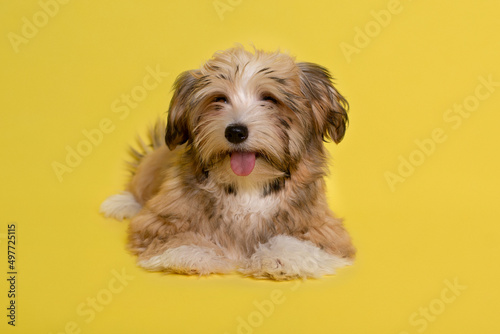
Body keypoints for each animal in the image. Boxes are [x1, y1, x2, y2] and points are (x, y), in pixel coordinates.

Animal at [100, 45, 356, 280]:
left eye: (270, 99)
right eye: (219, 99)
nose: (235, 132)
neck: (248, 186)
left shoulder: (324, 228)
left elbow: (299, 242)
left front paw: (278, 257)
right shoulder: (156, 220)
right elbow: (178, 236)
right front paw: (192, 253)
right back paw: (121, 203)